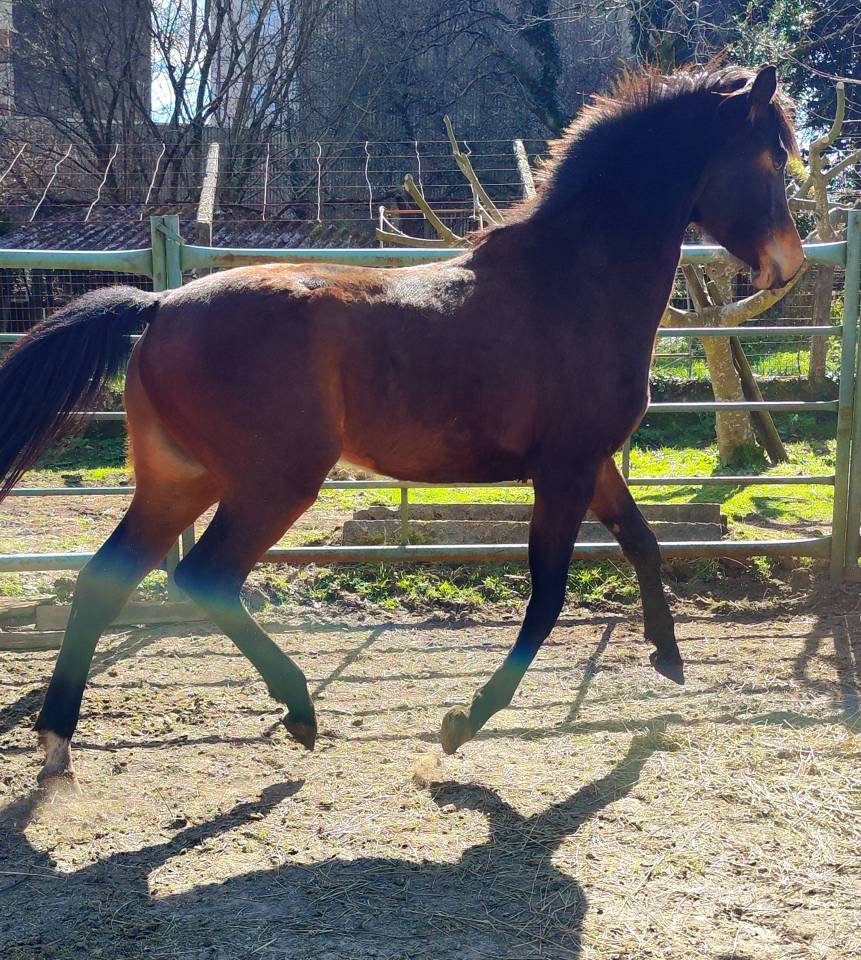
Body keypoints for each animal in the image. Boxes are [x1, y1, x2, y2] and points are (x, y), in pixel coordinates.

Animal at [0, 64, 804, 786]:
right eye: (770, 157)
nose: (788, 265)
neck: (573, 282)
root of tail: (162, 304)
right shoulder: (565, 469)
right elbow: (547, 594)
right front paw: (461, 725)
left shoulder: (593, 463)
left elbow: (643, 543)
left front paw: (668, 658)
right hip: (272, 483)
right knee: (204, 578)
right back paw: (299, 713)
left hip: (178, 481)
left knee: (104, 580)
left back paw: (57, 744)